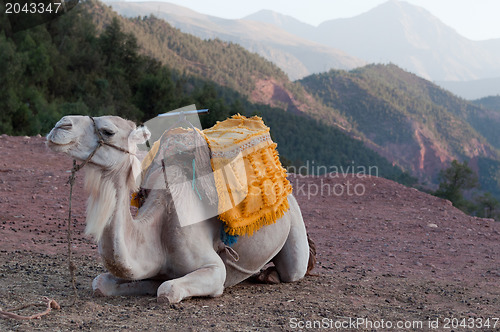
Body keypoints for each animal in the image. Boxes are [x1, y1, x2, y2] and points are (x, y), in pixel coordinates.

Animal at [46, 115, 312, 304]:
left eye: (108, 130)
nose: (60, 125)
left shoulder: (215, 269)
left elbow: (168, 290)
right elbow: (101, 283)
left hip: (295, 220)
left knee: (294, 270)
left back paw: (271, 275)